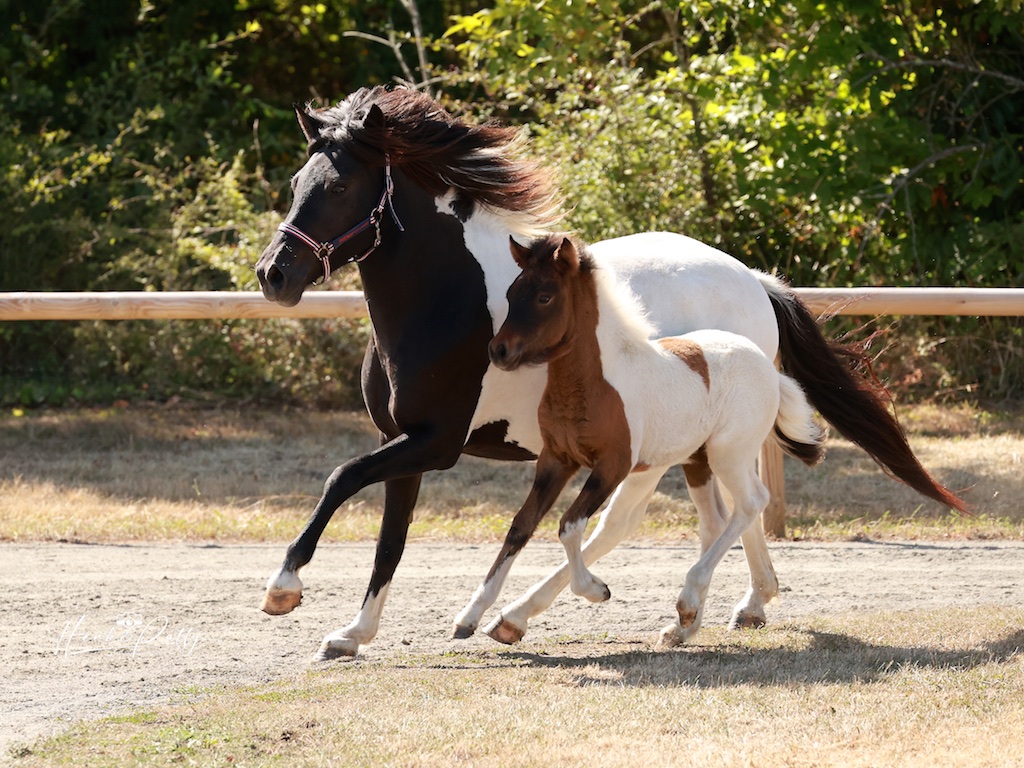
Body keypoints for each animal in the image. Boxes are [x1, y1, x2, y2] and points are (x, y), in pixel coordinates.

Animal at [477, 237, 823, 647]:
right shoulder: (556, 460)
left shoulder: (615, 464)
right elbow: (523, 524)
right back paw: (686, 624)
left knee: (751, 503)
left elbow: (569, 525)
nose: (498, 350)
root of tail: (769, 368)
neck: (598, 381)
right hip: (697, 458)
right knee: (716, 518)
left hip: (727, 453)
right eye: (512, 293)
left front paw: (596, 590)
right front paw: (472, 618)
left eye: (545, 297)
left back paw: (693, 603)